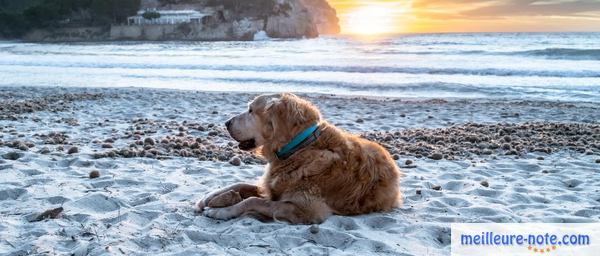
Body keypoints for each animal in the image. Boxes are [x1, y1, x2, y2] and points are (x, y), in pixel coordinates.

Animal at [197, 93, 404, 223]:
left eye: (250, 110)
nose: (226, 123)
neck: (299, 147)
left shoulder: (308, 209)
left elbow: (253, 200)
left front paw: (221, 211)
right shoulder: (271, 187)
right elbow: (239, 184)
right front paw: (207, 198)